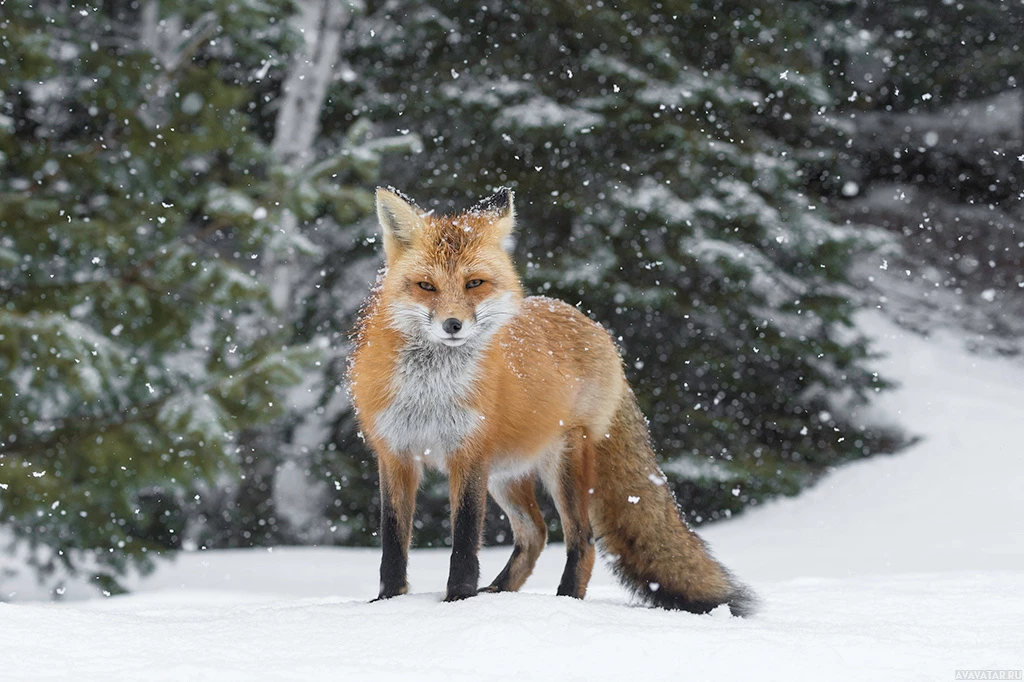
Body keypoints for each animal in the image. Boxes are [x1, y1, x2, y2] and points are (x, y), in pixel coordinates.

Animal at [348, 183, 757, 614]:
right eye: (426, 286)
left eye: (474, 283)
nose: (452, 325)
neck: (431, 392)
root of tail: (595, 328)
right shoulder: (395, 453)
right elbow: (393, 541)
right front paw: (388, 601)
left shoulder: (469, 453)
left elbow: (464, 541)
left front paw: (458, 598)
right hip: (506, 473)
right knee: (536, 534)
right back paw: (499, 592)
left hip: (563, 464)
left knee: (582, 540)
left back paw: (564, 603)